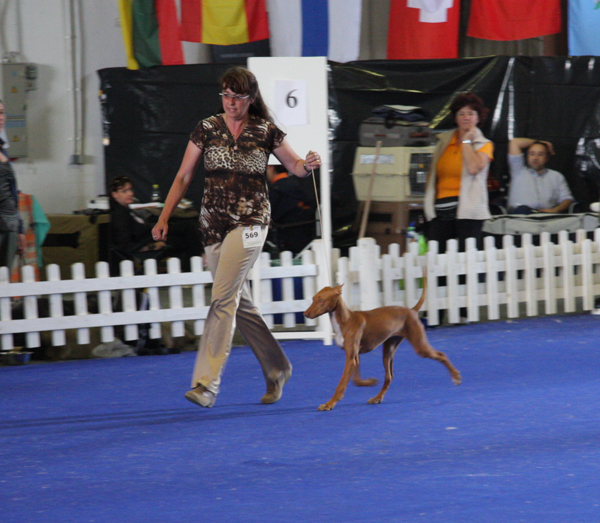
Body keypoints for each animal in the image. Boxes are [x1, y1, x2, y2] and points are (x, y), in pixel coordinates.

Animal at [304, 280, 464, 412]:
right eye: (313, 299)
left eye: (321, 300)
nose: (305, 313)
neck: (345, 320)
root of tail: (412, 310)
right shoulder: (354, 356)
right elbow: (356, 380)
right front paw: (369, 382)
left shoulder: (351, 357)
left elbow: (341, 383)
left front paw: (329, 404)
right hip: (388, 350)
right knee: (389, 376)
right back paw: (377, 397)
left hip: (419, 346)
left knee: (441, 355)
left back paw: (456, 377)